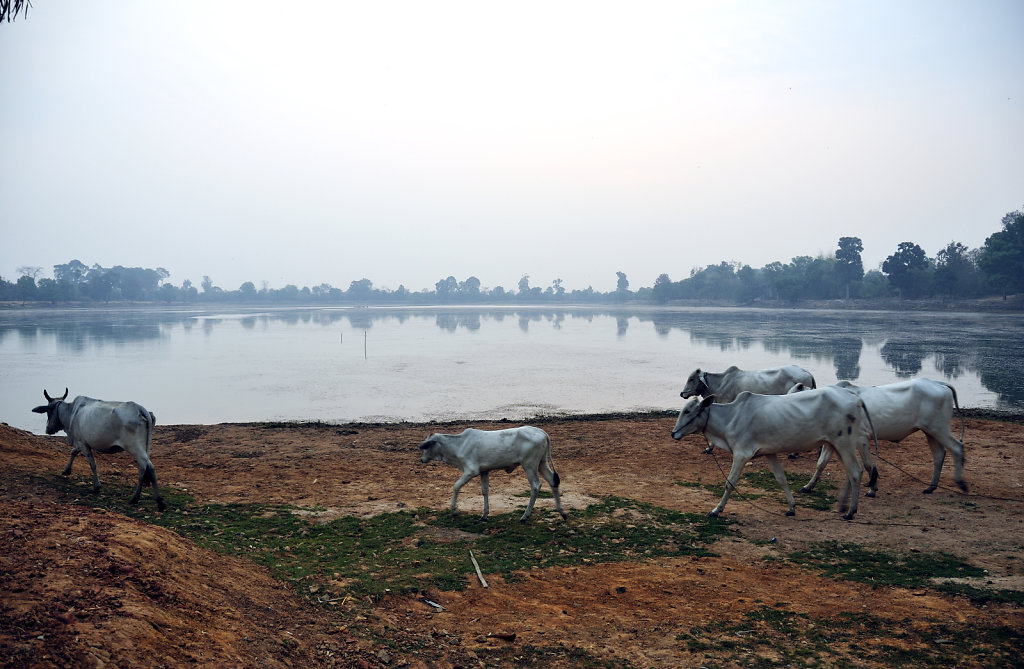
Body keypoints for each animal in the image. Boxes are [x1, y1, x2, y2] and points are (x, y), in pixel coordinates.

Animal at [32, 389, 165, 508]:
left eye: (48, 411)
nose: (48, 430)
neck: (71, 412)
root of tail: (140, 408)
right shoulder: (81, 442)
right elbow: (73, 452)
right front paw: (66, 470)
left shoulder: (82, 443)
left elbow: (92, 464)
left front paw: (96, 487)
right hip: (144, 447)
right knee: (144, 467)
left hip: (134, 446)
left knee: (148, 467)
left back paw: (150, 500)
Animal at [417, 428, 569, 522]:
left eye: (427, 446)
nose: (422, 459)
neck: (458, 444)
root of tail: (540, 431)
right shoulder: (484, 471)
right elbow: (485, 491)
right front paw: (484, 515)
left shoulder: (471, 471)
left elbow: (456, 486)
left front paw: (454, 510)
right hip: (541, 463)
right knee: (553, 481)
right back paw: (562, 512)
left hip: (530, 465)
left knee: (536, 486)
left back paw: (525, 516)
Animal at [667, 385, 876, 522]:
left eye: (688, 411)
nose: (673, 433)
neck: (731, 417)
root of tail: (855, 397)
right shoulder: (770, 453)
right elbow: (781, 479)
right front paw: (791, 507)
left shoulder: (741, 454)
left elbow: (730, 482)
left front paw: (717, 510)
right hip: (835, 445)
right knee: (853, 472)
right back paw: (844, 506)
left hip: (844, 443)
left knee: (855, 471)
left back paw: (851, 511)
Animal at [798, 374, 966, 495]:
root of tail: (937, 383)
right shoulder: (833, 441)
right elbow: (821, 463)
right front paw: (808, 486)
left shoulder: (861, 439)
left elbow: (868, 465)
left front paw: (872, 489)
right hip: (930, 431)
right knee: (939, 455)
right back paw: (931, 487)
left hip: (939, 428)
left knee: (957, 447)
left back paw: (960, 483)